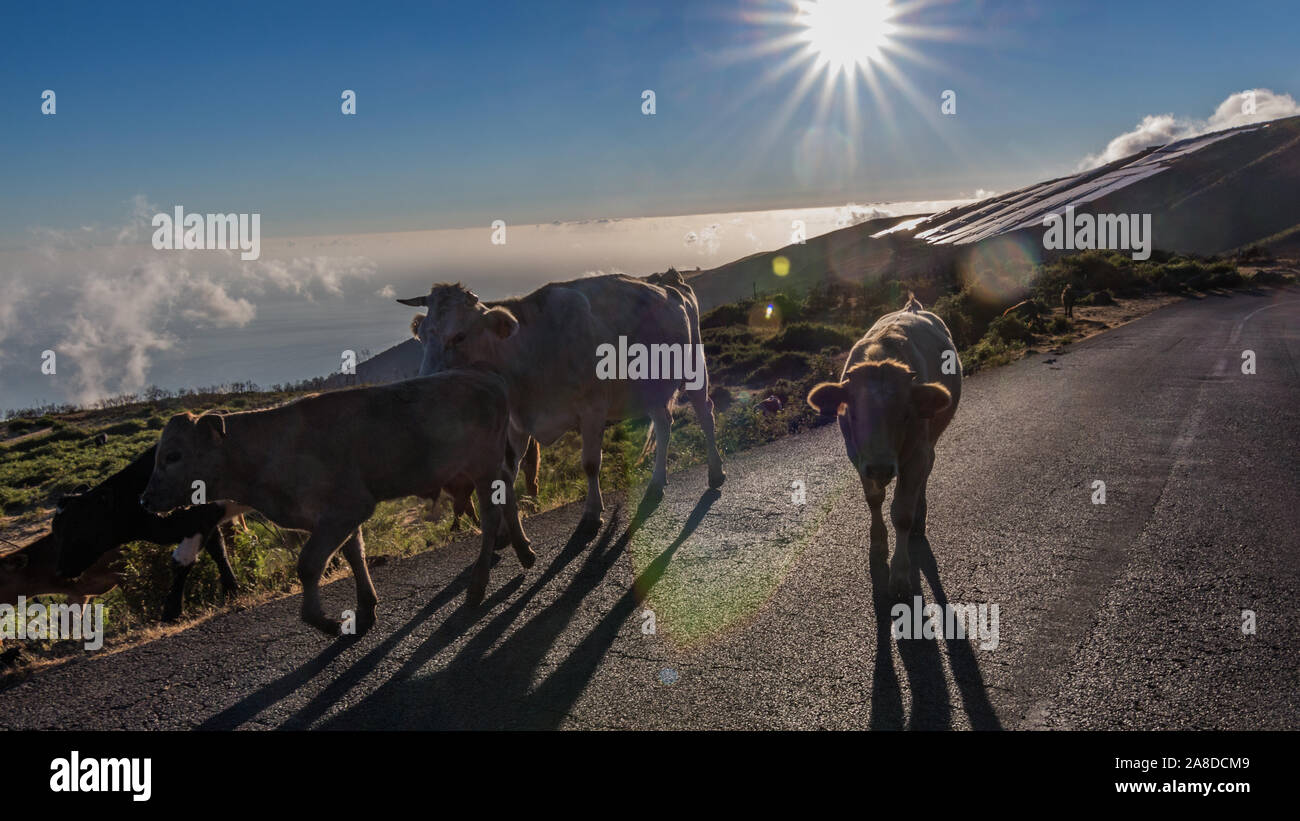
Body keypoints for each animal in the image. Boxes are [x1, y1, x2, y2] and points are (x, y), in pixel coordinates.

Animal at [50, 446, 239, 618]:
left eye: (78, 527)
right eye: (56, 531)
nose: (59, 571)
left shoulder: (200, 520)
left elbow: (182, 563)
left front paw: (171, 612)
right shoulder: (203, 524)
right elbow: (219, 552)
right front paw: (231, 590)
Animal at [138, 368, 533, 639]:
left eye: (173, 455)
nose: (145, 498)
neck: (266, 452)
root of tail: (486, 377)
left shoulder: (347, 508)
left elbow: (309, 566)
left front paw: (327, 622)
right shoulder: (333, 516)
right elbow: (354, 553)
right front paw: (366, 608)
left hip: (482, 468)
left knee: (491, 515)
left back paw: (478, 585)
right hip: (490, 467)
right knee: (508, 494)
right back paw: (524, 550)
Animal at [806, 293, 961, 597]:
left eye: (906, 414)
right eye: (853, 414)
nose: (880, 468)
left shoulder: (916, 454)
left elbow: (901, 512)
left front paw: (900, 573)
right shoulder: (857, 456)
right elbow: (874, 499)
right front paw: (877, 544)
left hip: (929, 444)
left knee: (926, 474)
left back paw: (920, 516)